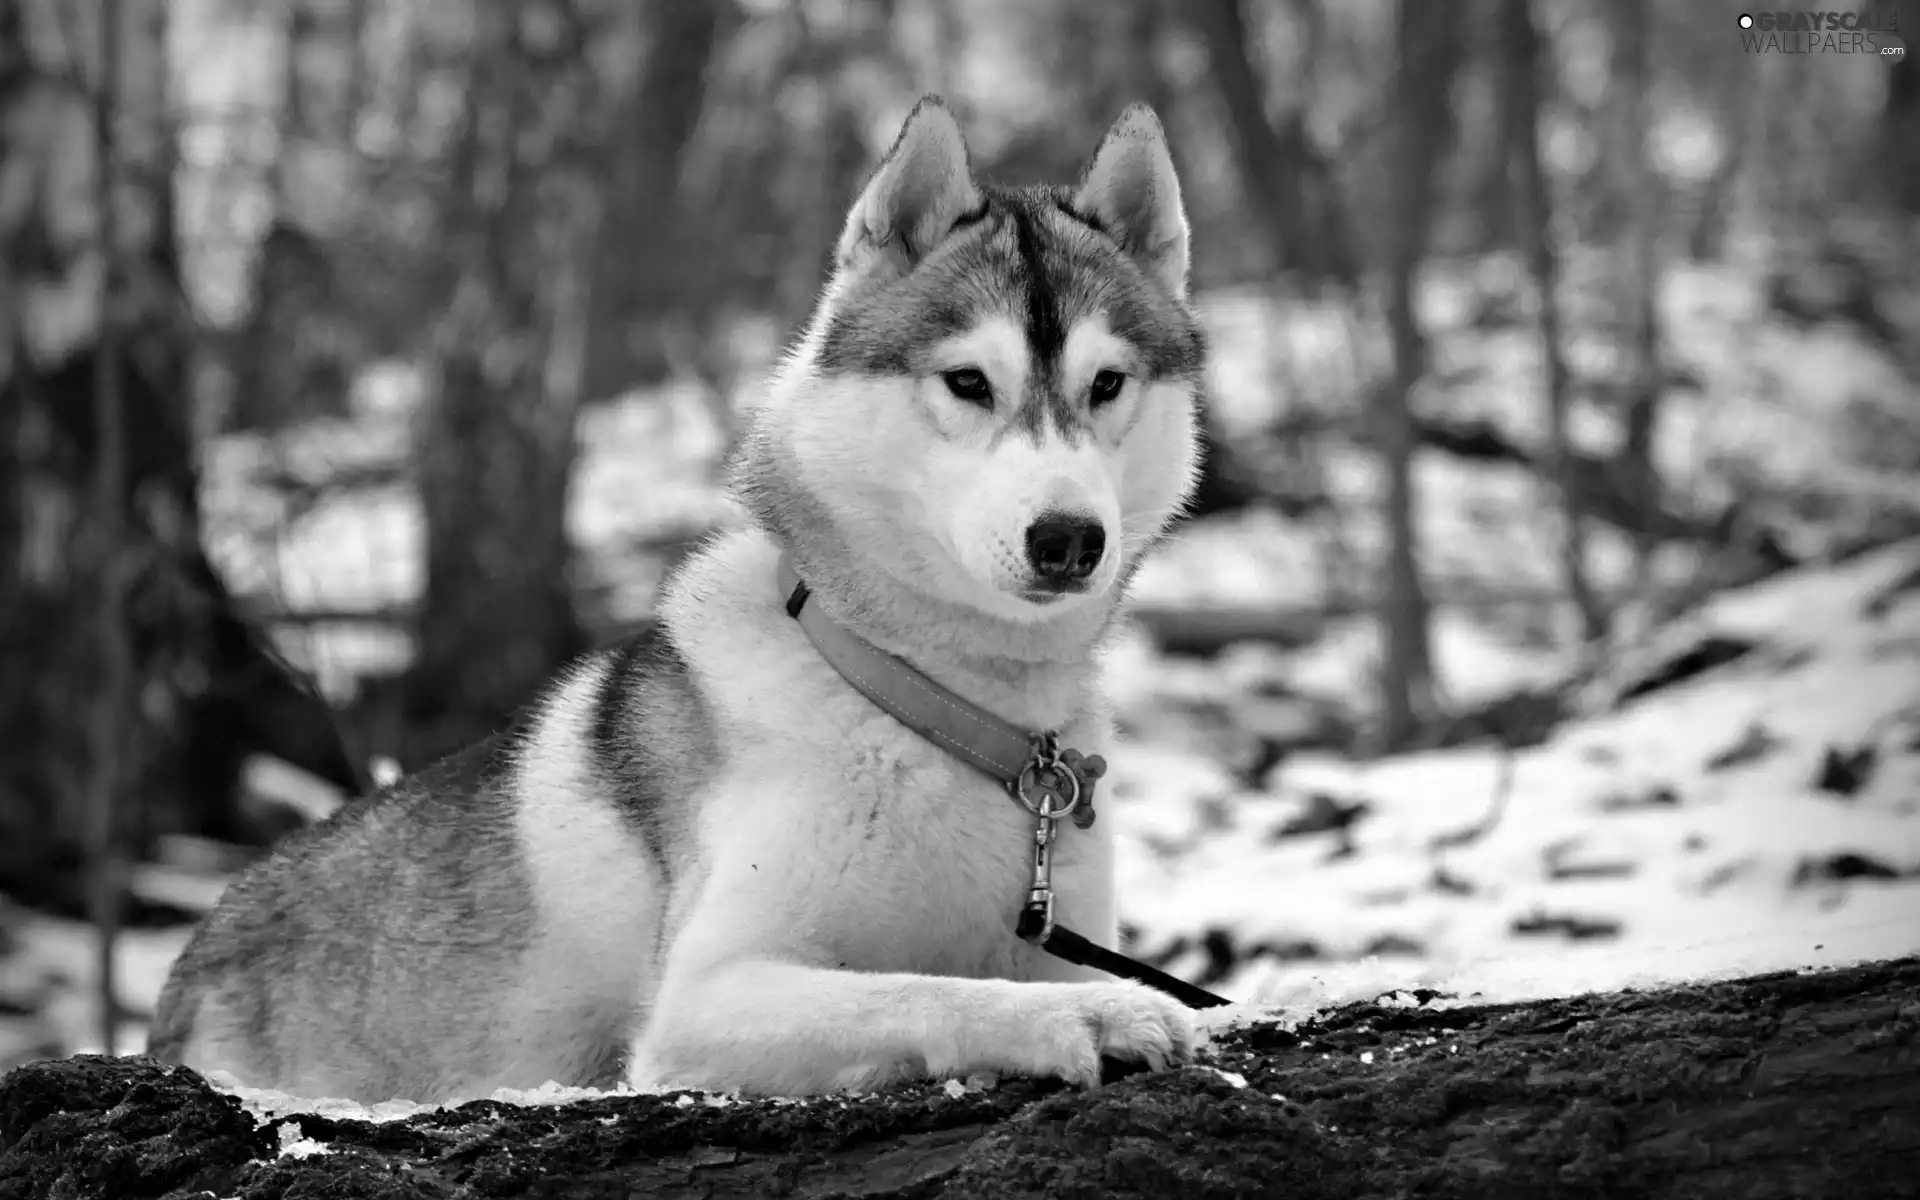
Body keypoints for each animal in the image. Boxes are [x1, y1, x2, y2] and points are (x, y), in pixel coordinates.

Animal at [149, 98, 1205, 1098]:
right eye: (968, 382)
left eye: (1107, 383)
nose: (1068, 538)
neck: (947, 714)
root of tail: (189, 964)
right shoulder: (705, 998)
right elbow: (932, 990)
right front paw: (1094, 1018)